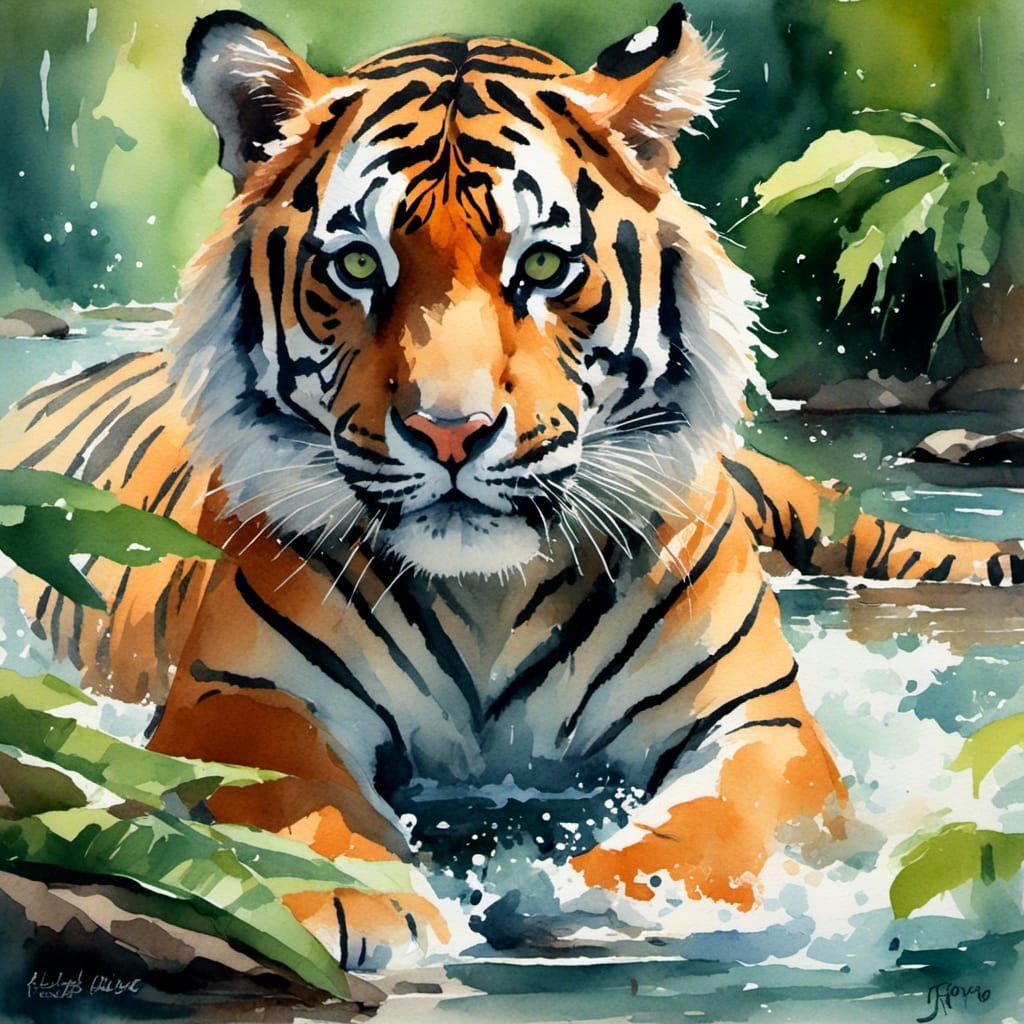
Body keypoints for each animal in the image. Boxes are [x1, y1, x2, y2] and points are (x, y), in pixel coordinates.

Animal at [5, 3, 1024, 971]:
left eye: (540, 265)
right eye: (359, 265)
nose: (449, 431)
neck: (488, 595)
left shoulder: (759, 722)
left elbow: (719, 826)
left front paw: (603, 901)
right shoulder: (240, 697)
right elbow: (293, 794)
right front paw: (353, 897)